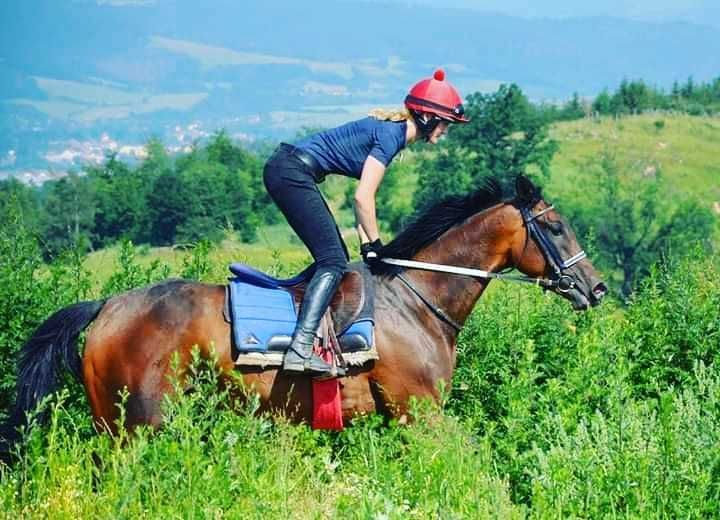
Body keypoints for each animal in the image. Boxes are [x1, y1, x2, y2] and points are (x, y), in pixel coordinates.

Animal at [2, 176, 604, 450]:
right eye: (555, 227)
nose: (595, 288)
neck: (415, 297)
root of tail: (106, 305)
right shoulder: (420, 411)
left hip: (112, 422)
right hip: (140, 424)